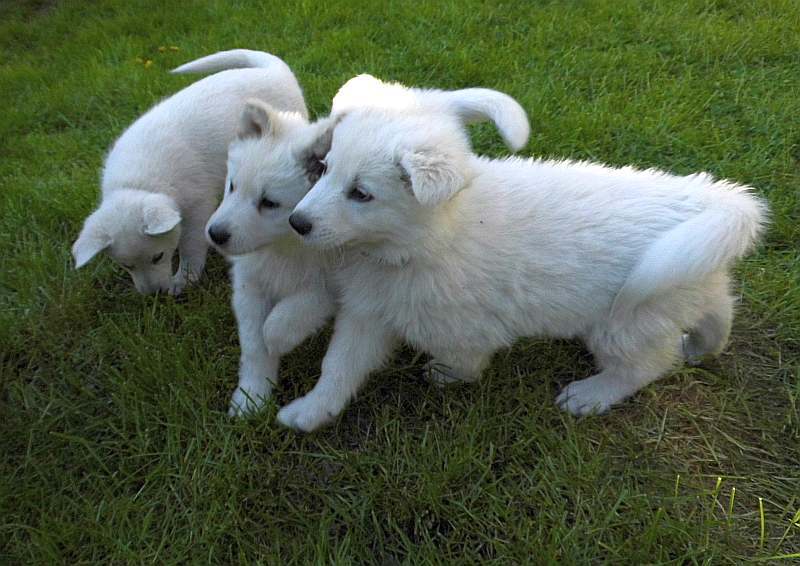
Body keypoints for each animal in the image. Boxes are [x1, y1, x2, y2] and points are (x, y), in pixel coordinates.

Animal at [70, 50, 308, 296]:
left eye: (158, 257)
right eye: (126, 265)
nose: (154, 295)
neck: (137, 184)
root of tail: (275, 70)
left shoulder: (197, 206)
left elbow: (191, 245)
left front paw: (184, 279)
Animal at [282, 74, 768, 430]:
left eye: (361, 194)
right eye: (324, 168)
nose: (296, 223)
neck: (426, 239)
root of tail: (707, 200)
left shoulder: (461, 319)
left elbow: (465, 356)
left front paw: (449, 375)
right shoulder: (368, 309)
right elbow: (339, 364)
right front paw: (310, 411)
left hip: (630, 318)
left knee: (644, 366)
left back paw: (591, 394)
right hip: (689, 273)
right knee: (720, 306)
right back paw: (704, 345)